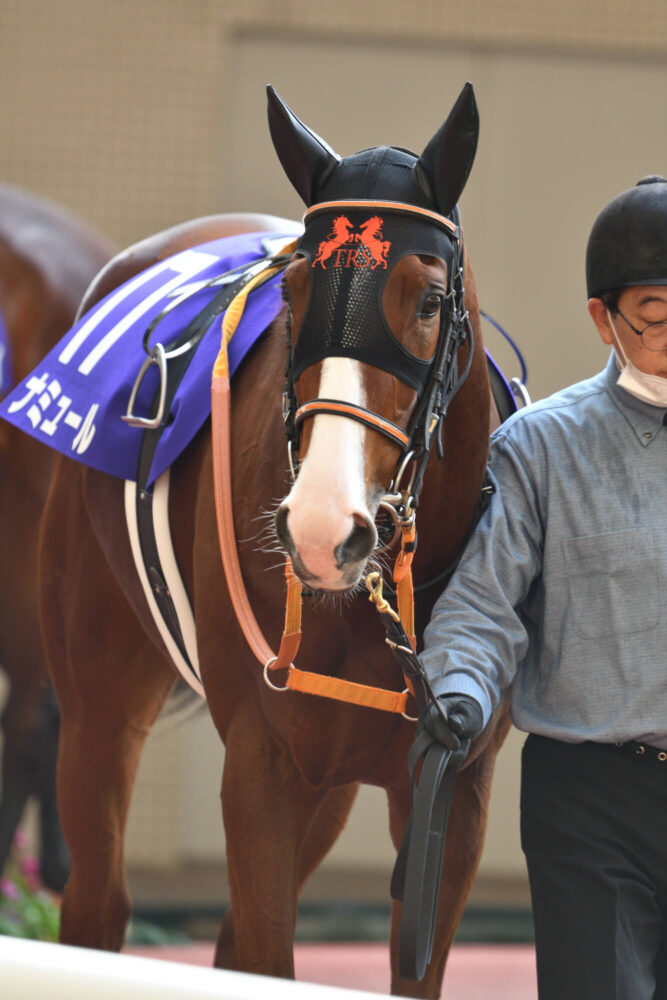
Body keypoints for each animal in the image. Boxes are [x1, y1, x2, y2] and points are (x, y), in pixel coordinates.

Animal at [37, 88, 512, 1000]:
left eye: (428, 300)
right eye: (293, 291)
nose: (322, 529)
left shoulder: (450, 786)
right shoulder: (261, 762)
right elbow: (264, 951)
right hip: (98, 699)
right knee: (97, 909)